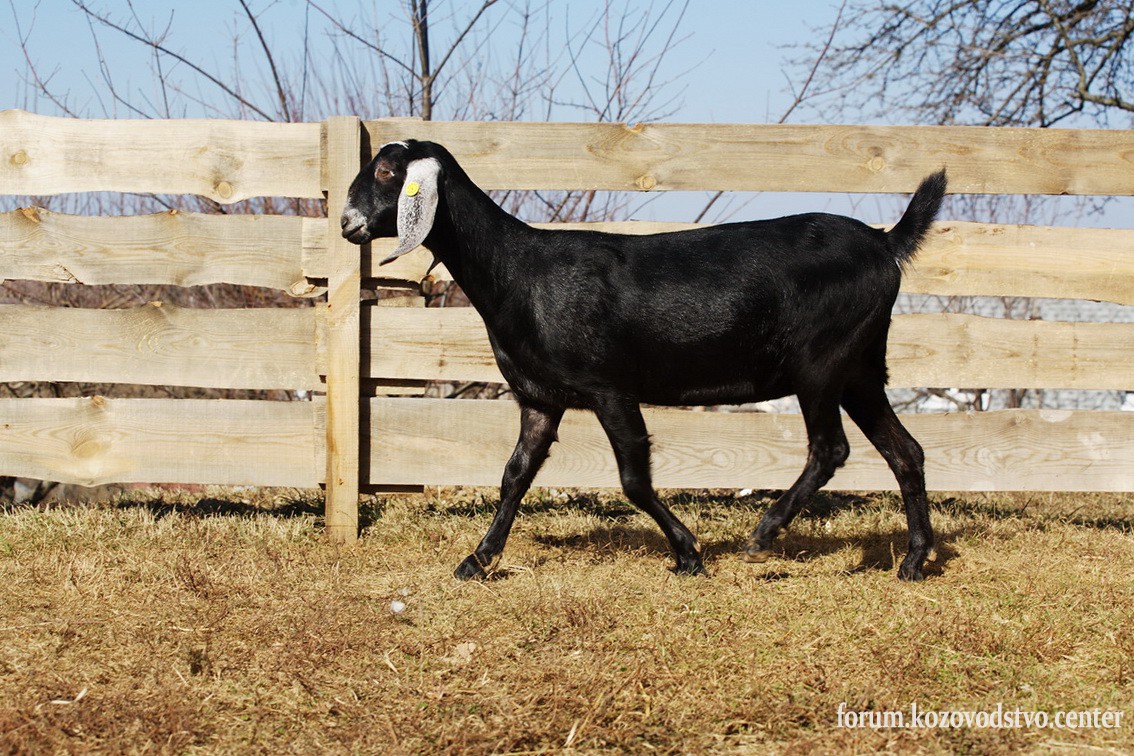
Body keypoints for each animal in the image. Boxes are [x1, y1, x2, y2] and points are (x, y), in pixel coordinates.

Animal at [341, 139, 947, 581]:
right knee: (906, 451)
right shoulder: (540, 399)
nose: (348, 223)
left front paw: (688, 554)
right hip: (860, 367)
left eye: (388, 172)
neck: (520, 272)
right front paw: (477, 559)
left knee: (830, 448)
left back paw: (765, 533)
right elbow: (515, 474)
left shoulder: (608, 387)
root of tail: (885, 242)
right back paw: (914, 562)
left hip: (820, 361)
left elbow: (632, 478)